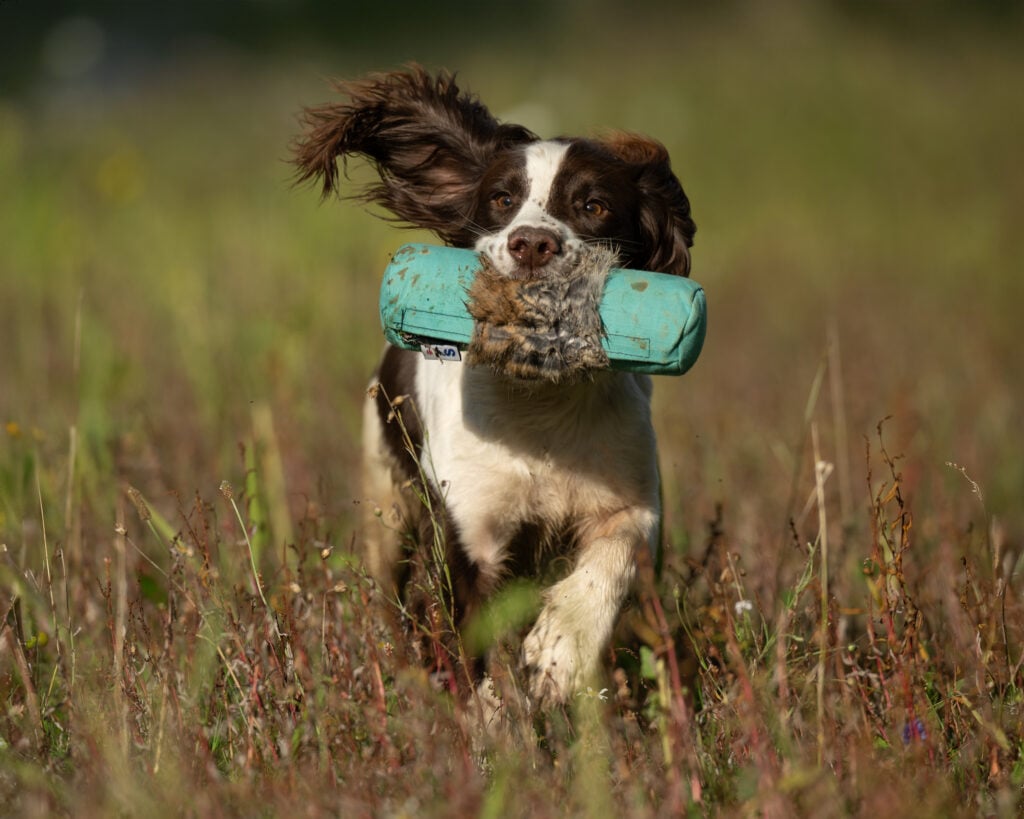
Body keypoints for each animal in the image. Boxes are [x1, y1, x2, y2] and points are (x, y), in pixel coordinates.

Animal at [293, 67, 695, 708]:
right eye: (502, 200)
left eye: (594, 205)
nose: (531, 243)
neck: (540, 402)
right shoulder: (470, 528)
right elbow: (477, 639)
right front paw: (494, 720)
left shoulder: (629, 497)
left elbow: (614, 557)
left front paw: (559, 655)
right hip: (388, 502)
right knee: (391, 592)